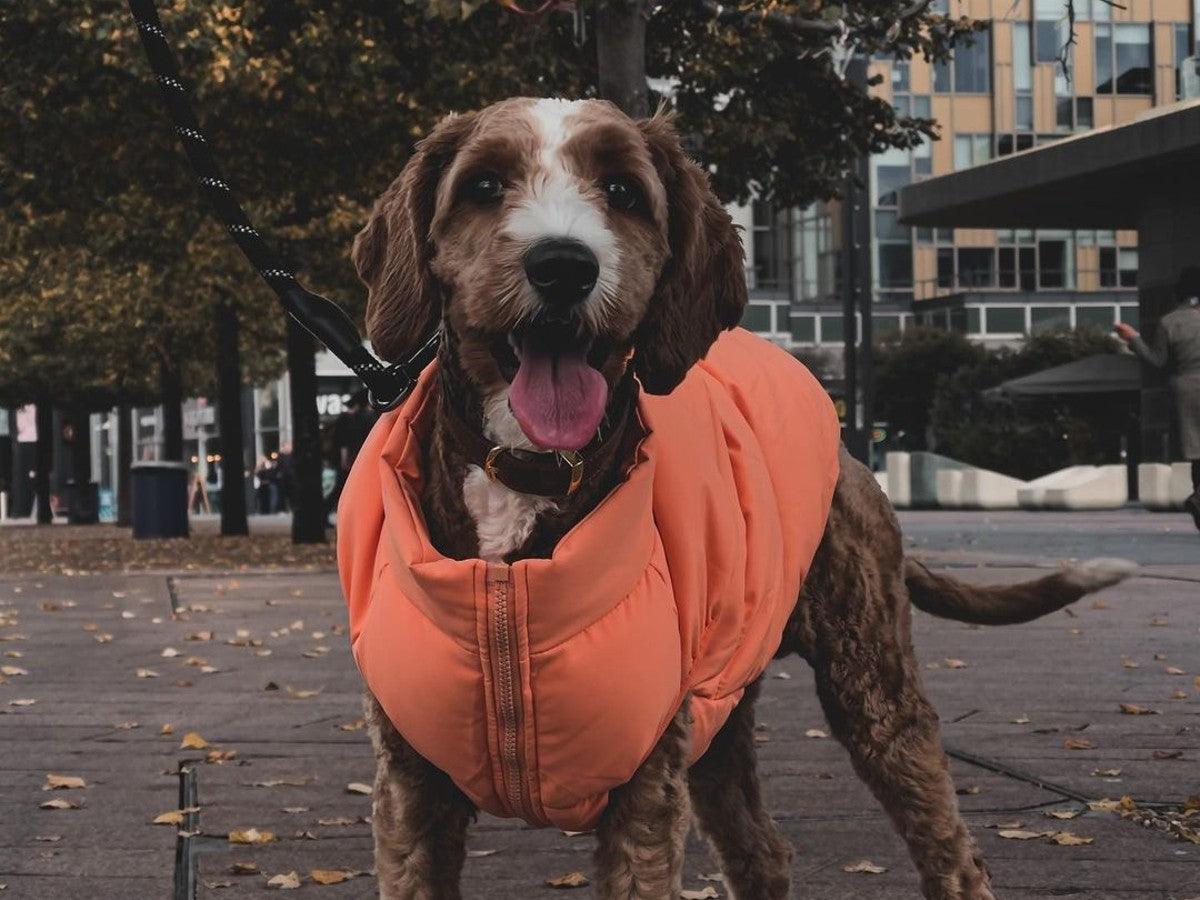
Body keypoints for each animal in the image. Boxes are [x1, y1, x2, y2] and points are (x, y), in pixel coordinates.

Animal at [345, 98, 1132, 900]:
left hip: (873, 686)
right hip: (720, 718)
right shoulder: (411, 787)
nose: (563, 265)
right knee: (762, 849)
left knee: (948, 845)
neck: (525, 477)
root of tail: (857, 461)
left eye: (623, 190)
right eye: (483, 184)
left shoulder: (645, 785)